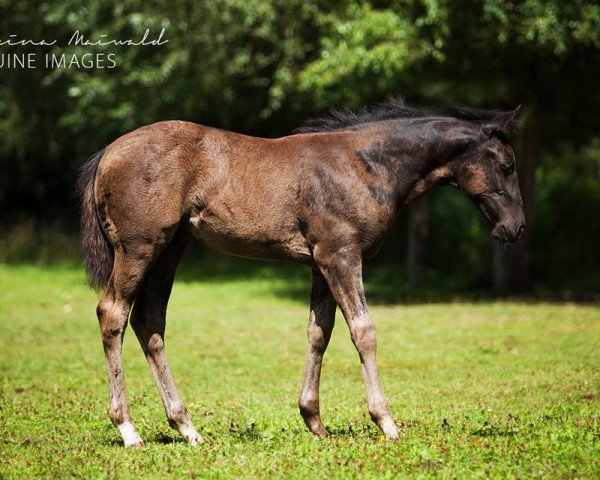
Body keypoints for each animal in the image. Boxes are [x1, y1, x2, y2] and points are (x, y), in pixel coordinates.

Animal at [78, 96, 524, 446]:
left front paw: (314, 421)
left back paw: (187, 428)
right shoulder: (341, 255)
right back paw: (128, 429)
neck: (366, 165)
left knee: (150, 322)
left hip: (170, 251)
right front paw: (386, 422)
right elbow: (363, 330)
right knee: (113, 314)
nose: (516, 228)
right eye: (506, 165)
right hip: (139, 248)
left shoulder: (320, 263)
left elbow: (318, 332)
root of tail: (107, 154)